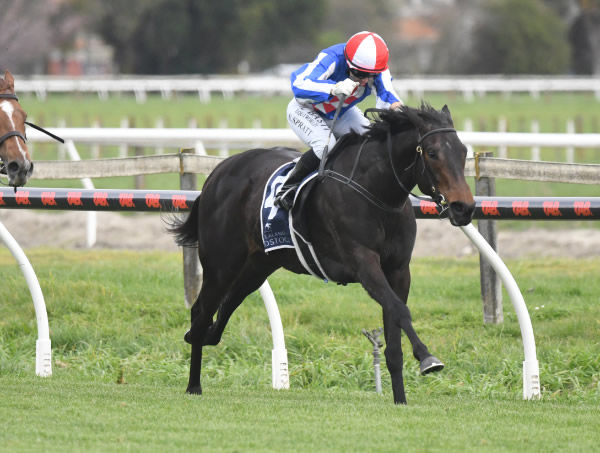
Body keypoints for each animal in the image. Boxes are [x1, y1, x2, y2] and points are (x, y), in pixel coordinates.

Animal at [171, 103, 476, 402]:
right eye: (433, 153)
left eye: (463, 152)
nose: (464, 208)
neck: (376, 192)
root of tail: (218, 172)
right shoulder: (363, 263)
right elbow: (400, 310)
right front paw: (427, 358)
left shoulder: (399, 270)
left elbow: (394, 333)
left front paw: (400, 399)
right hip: (221, 264)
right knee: (201, 311)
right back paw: (193, 383)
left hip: (258, 265)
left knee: (227, 305)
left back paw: (203, 341)